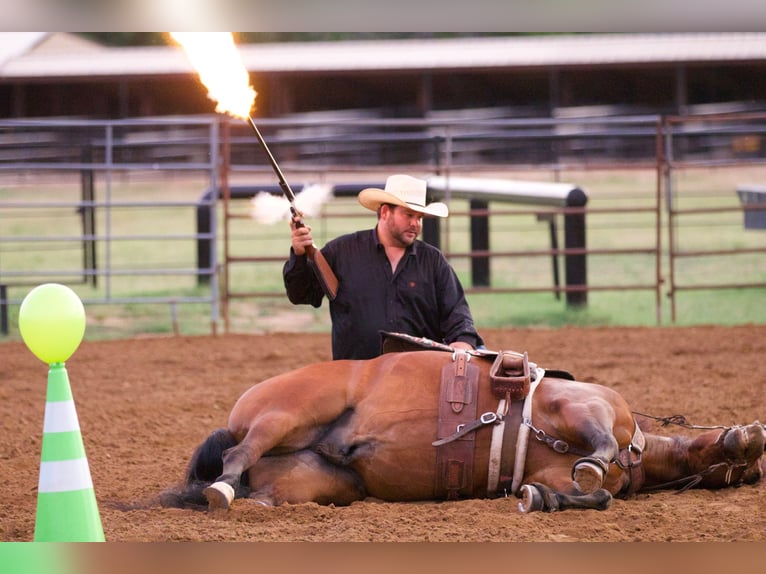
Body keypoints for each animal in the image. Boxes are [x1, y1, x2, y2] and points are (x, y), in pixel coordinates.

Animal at [164, 340, 766, 516]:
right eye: (744, 465)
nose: (754, 435)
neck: (634, 448)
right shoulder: (586, 405)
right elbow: (595, 453)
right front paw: (595, 463)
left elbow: (584, 492)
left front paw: (540, 498)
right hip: (287, 412)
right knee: (237, 456)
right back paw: (221, 490)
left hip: (309, 480)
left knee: (261, 488)